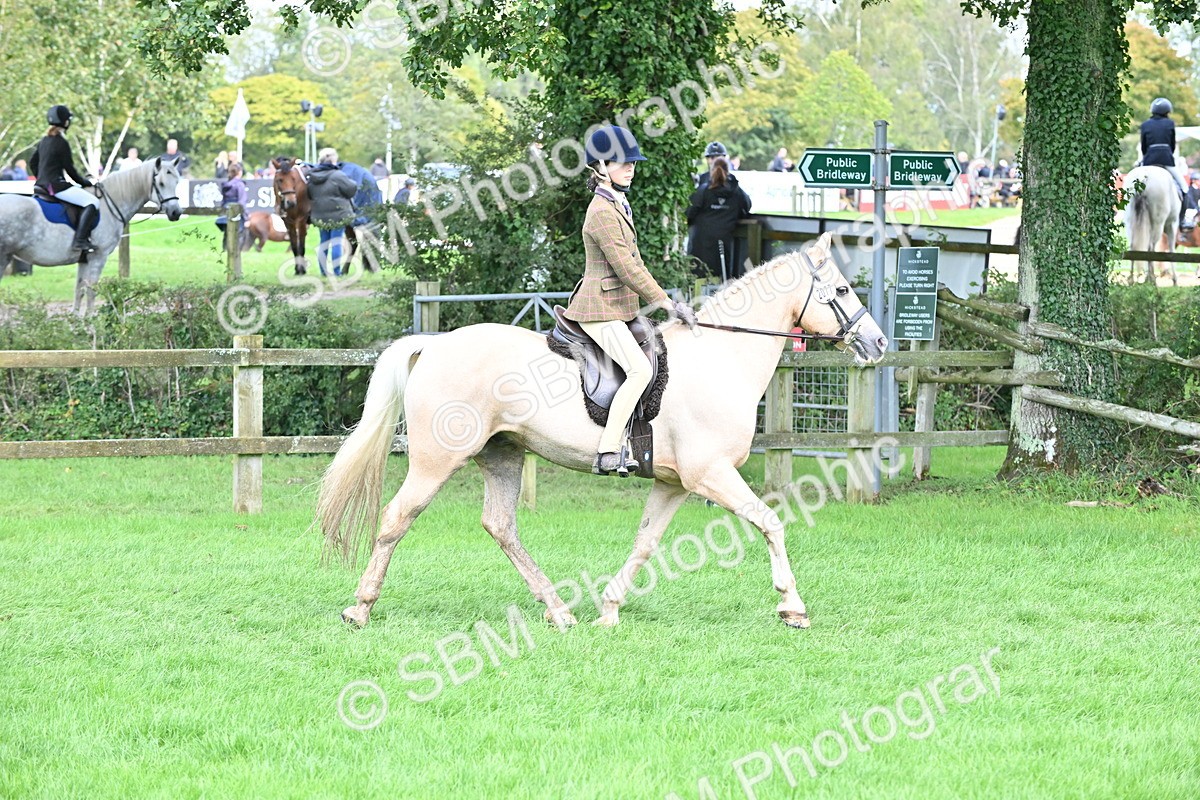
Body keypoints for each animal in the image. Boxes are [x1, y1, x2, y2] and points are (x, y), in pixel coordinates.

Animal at [0, 158, 182, 313]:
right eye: (161, 183)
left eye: (177, 182)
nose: (176, 212)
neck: (110, 204)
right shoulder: (98, 256)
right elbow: (91, 290)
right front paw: (90, 321)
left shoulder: (84, 259)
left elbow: (79, 289)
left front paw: (75, 321)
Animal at [316, 232, 889, 631]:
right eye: (841, 289)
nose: (879, 344)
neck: (722, 358)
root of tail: (435, 343)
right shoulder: (711, 474)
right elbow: (770, 522)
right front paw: (792, 606)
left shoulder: (674, 483)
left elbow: (645, 543)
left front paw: (609, 609)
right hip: (436, 461)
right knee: (397, 518)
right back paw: (360, 608)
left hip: (503, 454)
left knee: (501, 526)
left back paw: (559, 611)